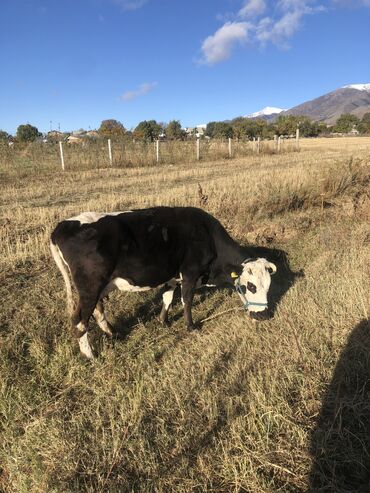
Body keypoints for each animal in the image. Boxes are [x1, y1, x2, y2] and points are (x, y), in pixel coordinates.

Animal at [49, 207, 276, 358]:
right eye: (250, 286)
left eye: (268, 286)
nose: (264, 315)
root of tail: (63, 225)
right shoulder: (190, 273)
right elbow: (186, 301)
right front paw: (191, 326)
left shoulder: (172, 276)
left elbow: (167, 297)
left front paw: (164, 321)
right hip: (89, 287)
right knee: (79, 320)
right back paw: (90, 354)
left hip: (98, 287)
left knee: (97, 311)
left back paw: (113, 333)